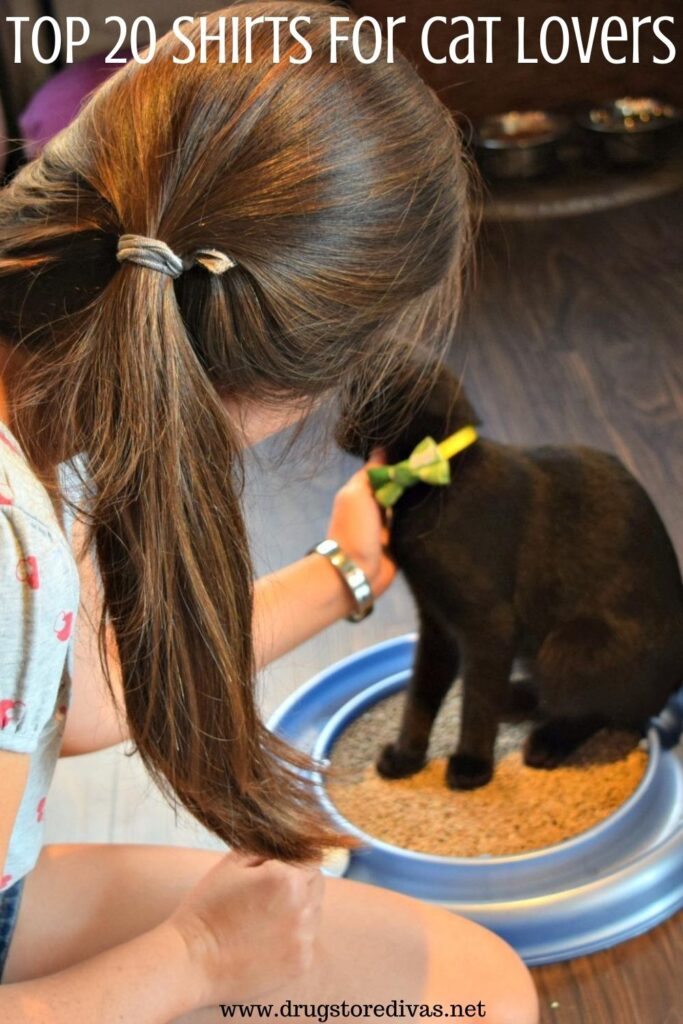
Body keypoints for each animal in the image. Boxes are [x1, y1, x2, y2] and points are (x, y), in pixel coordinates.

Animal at [335, 356, 683, 786]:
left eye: (354, 401)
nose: (338, 427)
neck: (439, 477)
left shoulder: (489, 622)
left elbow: (478, 700)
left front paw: (471, 766)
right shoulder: (436, 622)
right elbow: (421, 693)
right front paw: (406, 757)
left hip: (568, 647)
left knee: (610, 711)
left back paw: (547, 742)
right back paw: (517, 697)